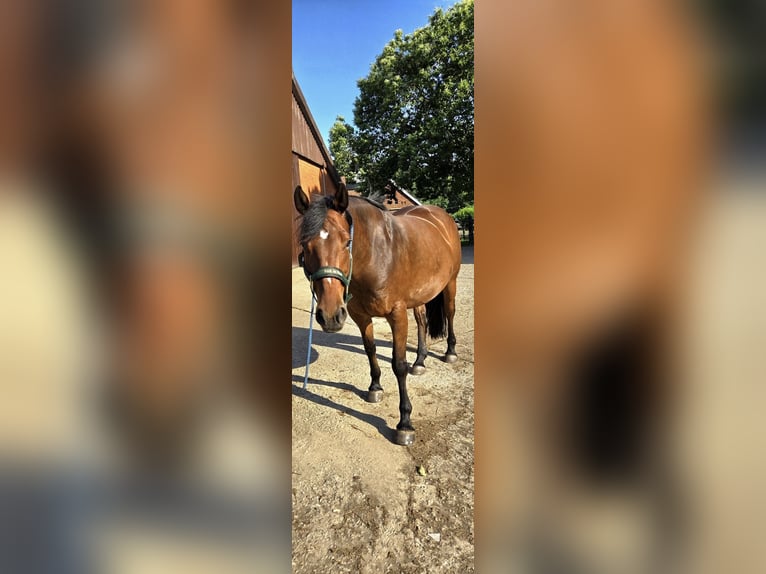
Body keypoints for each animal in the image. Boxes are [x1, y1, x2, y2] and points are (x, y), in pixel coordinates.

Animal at [294, 183, 462, 446]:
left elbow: (399, 365)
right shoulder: (359, 315)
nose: (329, 315)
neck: (377, 255)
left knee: (451, 314)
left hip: (450, 283)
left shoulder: (397, 314)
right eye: (304, 243)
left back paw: (450, 352)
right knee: (421, 321)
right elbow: (370, 350)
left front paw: (405, 423)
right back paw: (420, 361)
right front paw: (375, 388)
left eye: (346, 242)